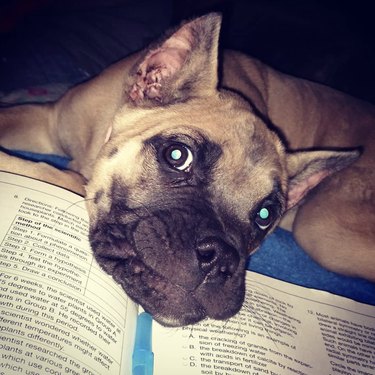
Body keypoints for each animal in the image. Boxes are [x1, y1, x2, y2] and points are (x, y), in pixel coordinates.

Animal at [0, 13, 375, 328]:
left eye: (266, 216)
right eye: (178, 155)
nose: (220, 259)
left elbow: (50, 173)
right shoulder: (45, 119)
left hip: (321, 230)